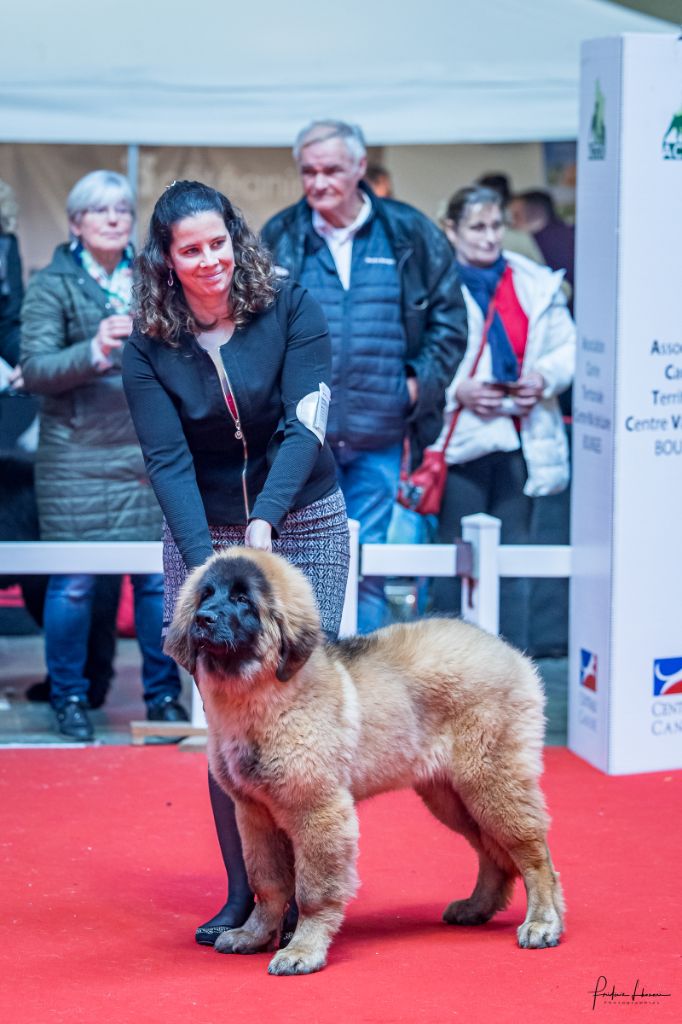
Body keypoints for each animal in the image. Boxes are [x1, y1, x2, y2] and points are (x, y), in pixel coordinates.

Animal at [165, 552, 561, 974]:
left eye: (242, 600)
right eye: (206, 594)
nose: (203, 618)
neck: (262, 697)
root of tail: (507, 651)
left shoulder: (317, 809)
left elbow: (313, 890)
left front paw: (303, 949)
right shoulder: (254, 813)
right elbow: (267, 881)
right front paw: (254, 935)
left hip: (490, 780)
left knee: (533, 853)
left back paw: (542, 922)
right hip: (451, 796)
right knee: (492, 853)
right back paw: (476, 908)